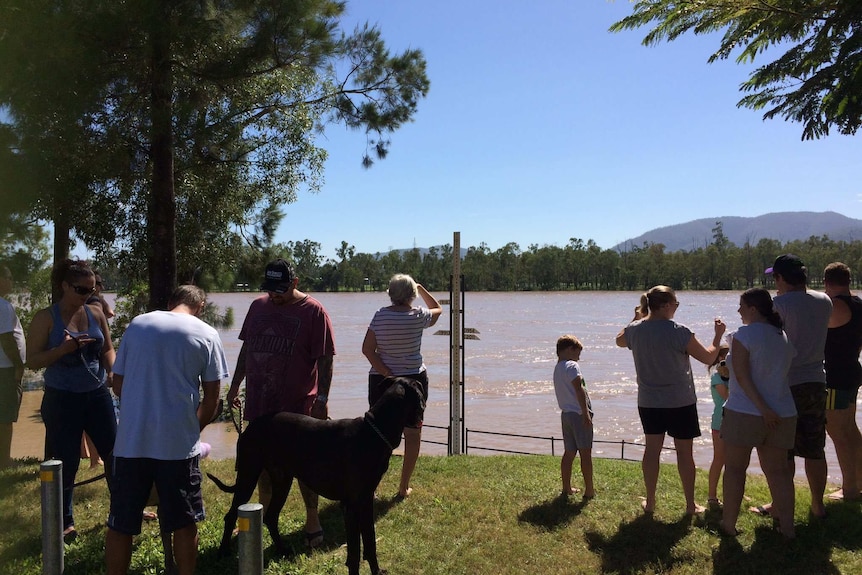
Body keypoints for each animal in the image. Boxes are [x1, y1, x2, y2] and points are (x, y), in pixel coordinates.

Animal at [209, 378, 426, 575]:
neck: (373, 433)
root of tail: (249, 426)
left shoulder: (365, 502)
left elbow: (370, 543)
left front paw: (377, 571)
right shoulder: (351, 506)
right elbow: (355, 553)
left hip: (282, 479)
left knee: (270, 516)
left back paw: (282, 550)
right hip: (248, 474)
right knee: (231, 515)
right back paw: (223, 552)